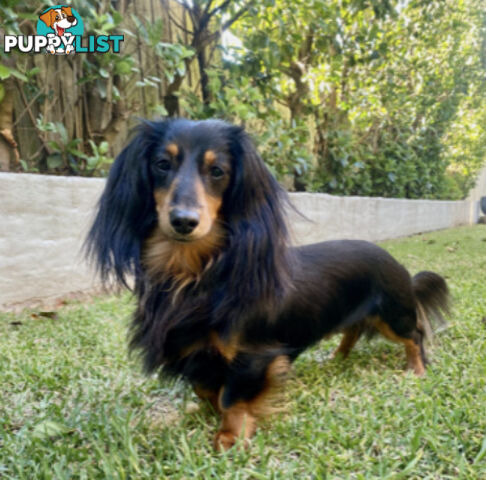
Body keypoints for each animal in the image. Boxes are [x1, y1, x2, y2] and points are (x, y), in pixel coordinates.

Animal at [86, 119, 448, 450]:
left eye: (217, 171)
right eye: (162, 164)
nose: (184, 221)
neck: (193, 274)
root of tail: (399, 266)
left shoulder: (252, 355)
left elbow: (232, 397)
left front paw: (231, 436)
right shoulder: (196, 352)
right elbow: (205, 388)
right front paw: (208, 412)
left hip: (393, 315)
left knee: (415, 335)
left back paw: (416, 369)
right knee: (354, 330)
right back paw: (337, 357)